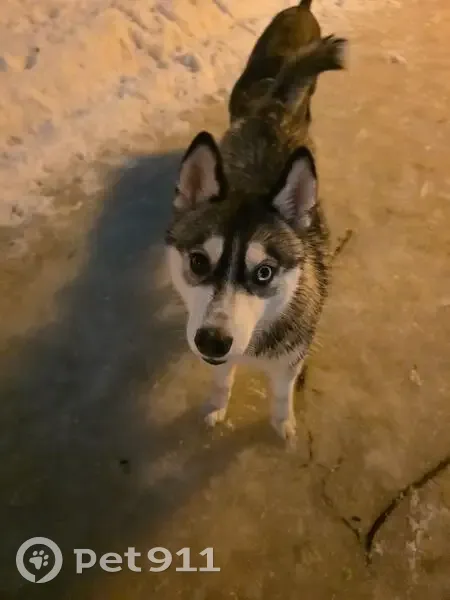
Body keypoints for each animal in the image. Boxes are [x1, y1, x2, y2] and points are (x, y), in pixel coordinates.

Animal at [165, 0, 347, 446]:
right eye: (198, 262)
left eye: (264, 272)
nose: (213, 340)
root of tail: (272, 109)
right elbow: (220, 381)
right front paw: (216, 407)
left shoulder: (291, 360)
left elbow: (282, 395)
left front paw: (283, 425)